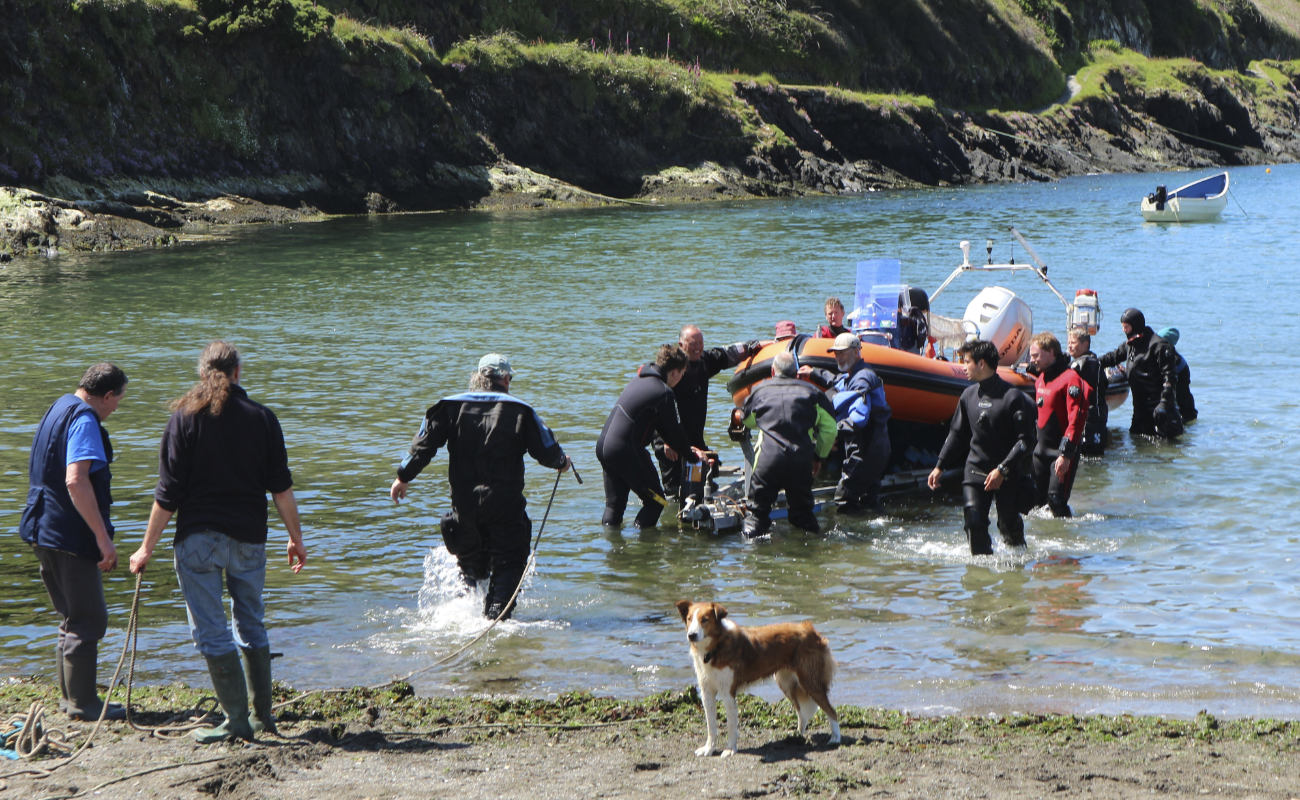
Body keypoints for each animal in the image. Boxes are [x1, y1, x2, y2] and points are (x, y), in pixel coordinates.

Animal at [670, 600, 842, 759]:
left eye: (704, 619)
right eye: (689, 619)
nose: (691, 635)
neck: (715, 647)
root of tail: (811, 629)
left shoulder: (728, 693)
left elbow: (731, 725)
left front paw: (730, 750)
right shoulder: (706, 693)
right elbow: (711, 725)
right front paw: (709, 749)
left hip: (810, 682)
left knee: (831, 711)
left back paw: (835, 738)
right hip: (786, 682)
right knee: (801, 712)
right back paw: (796, 736)